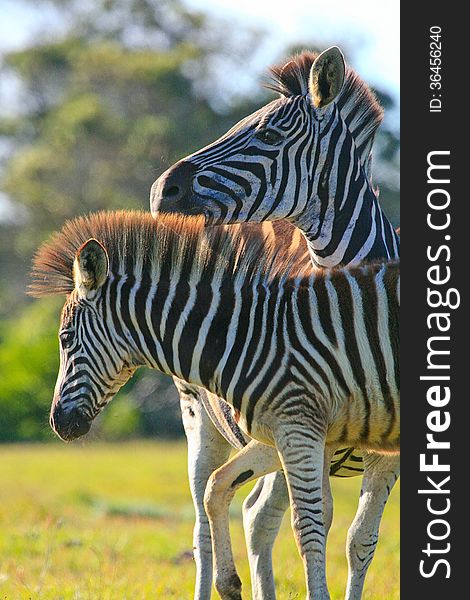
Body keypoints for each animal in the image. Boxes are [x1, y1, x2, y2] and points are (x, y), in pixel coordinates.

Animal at [151, 48, 400, 600]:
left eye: (267, 134)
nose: (160, 191)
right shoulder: (310, 435)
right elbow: (318, 527)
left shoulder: (382, 450)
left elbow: (361, 540)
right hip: (200, 420)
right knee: (205, 523)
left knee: (256, 515)